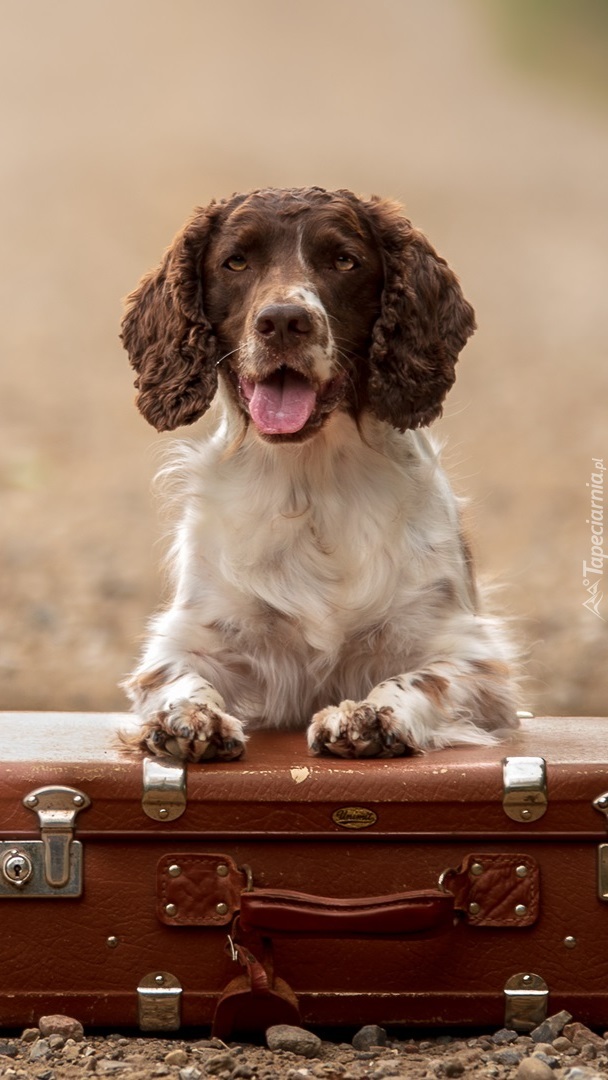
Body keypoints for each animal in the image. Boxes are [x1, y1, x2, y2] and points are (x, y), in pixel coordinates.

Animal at [121, 187, 520, 760]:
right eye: (235, 261)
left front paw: (368, 716)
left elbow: (418, 678)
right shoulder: (188, 639)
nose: (285, 321)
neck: (309, 482)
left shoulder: (474, 657)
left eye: (344, 261)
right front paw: (190, 718)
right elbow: (180, 677)